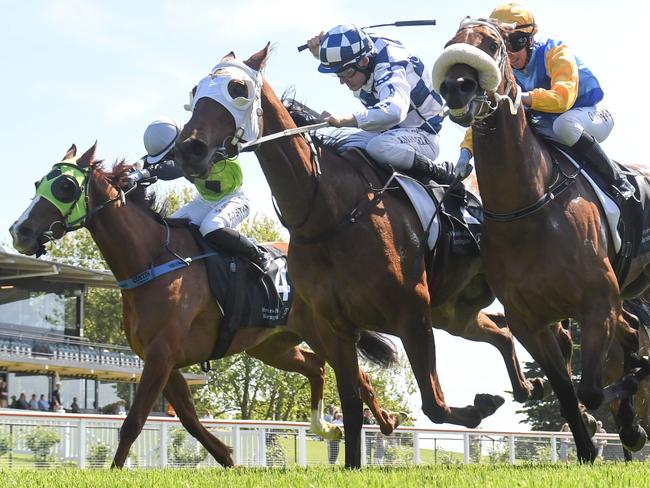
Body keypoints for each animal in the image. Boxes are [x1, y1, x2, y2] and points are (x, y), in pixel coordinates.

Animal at [7, 146, 404, 468]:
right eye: (38, 182)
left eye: (65, 187)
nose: (19, 231)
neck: (152, 259)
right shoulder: (162, 359)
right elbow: (188, 419)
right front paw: (228, 457)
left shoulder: (162, 353)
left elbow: (133, 422)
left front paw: (115, 471)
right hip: (270, 345)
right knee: (316, 367)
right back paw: (327, 427)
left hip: (321, 331)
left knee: (359, 378)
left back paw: (385, 421)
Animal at [170, 47, 512, 468]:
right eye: (195, 90)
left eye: (237, 88)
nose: (189, 149)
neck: (328, 212)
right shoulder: (336, 325)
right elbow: (351, 400)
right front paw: (352, 458)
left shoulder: (412, 313)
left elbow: (434, 404)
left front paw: (481, 406)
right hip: (453, 313)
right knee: (503, 332)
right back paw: (530, 384)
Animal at [430, 18, 648, 462]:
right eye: (450, 44)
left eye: (491, 44)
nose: (456, 86)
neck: (528, 208)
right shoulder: (529, 321)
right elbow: (566, 390)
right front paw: (589, 446)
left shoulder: (596, 302)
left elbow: (590, 389)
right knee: (631, 330)